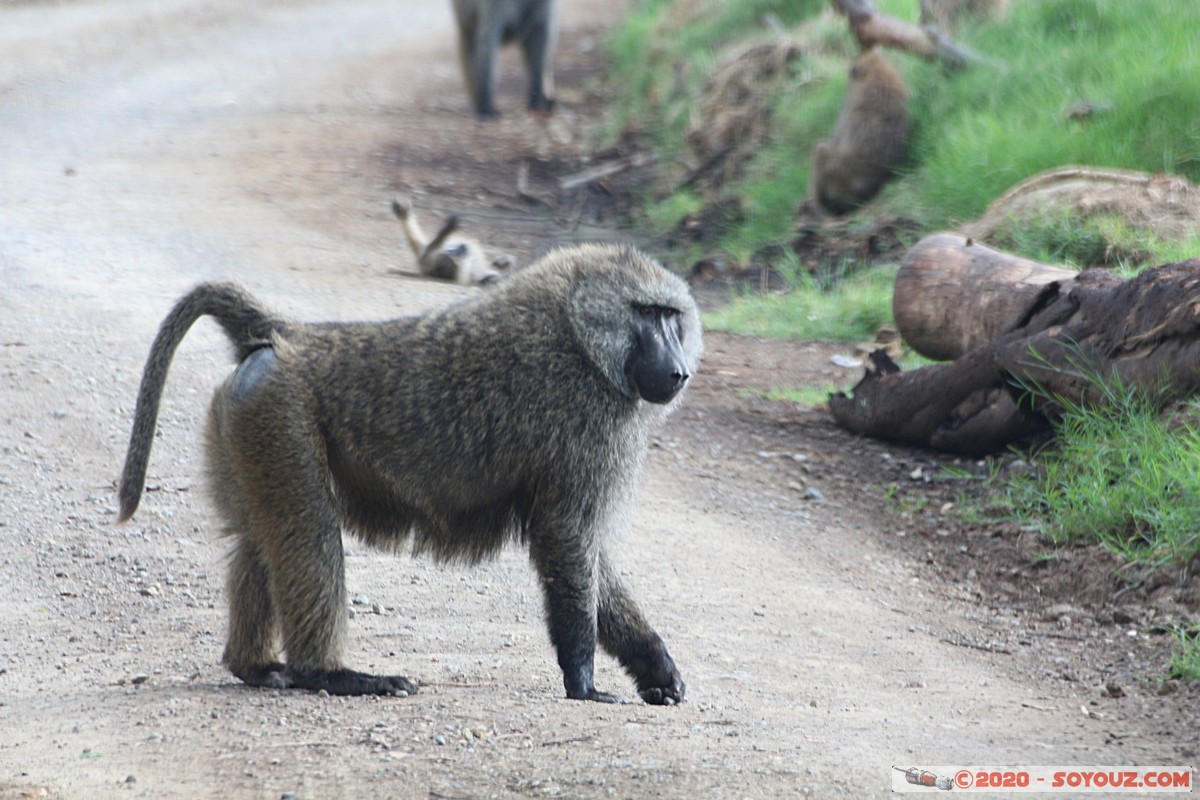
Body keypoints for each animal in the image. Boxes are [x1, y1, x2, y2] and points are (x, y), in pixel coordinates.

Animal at [116, 244, 701, 705]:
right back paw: (333, 675)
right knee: (307, 535)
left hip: (247, 416)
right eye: (647, 313)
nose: (679, 372)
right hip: (280, 414)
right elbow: (568, 536)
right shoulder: (586, 422)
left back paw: (254, 668)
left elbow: (590, 552)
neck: (577, 328)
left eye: (673, 317)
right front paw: (584, 684)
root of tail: (296, 337)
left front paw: (656, 668)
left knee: (259, 538)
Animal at [808, 48, 911, 216]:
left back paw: (819, 208)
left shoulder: (848, 107)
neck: (878, 73)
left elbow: (835, 138)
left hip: (837, 172)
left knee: (819, 150)